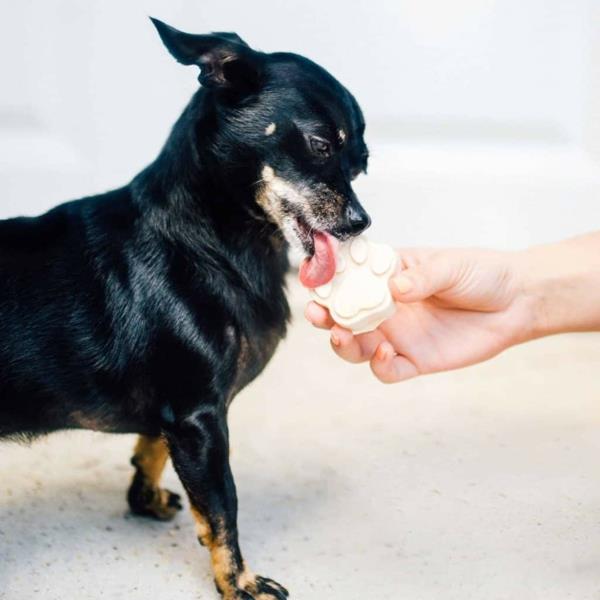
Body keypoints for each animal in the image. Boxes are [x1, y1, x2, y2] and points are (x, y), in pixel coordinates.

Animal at [0, 18, 370, 600]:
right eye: (318, 145)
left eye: (363, 163)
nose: (361, 222)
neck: (211, 245)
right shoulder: (201, 419)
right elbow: (222, 507)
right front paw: (237, 582)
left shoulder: (180, 415)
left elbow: (153, 447)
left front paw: (144, 497)